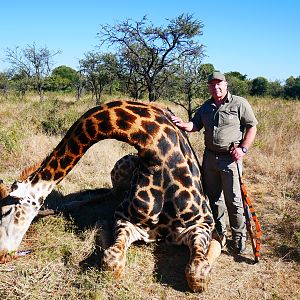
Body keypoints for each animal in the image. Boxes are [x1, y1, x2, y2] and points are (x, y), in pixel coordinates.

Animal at [0, 99, 220, 292]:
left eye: (5, 212)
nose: (3, 255)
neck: (156, 155)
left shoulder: (202, 224)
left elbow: (199, 273)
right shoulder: (126, 219)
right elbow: (111, 260)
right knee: (103, 195)